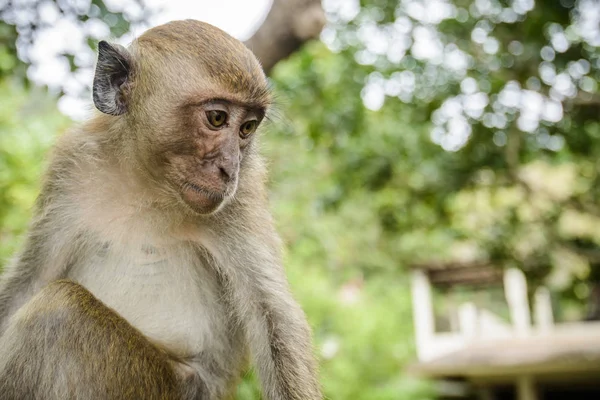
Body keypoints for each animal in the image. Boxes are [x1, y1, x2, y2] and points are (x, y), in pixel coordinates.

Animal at [0, 19, 322, 400]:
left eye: (247, 128)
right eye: (217, 118)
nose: (229, 168)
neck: (147, 184)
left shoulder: (242, 197)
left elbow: (272, 316)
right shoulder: (71, 167)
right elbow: (30, 279)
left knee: (59, 309)